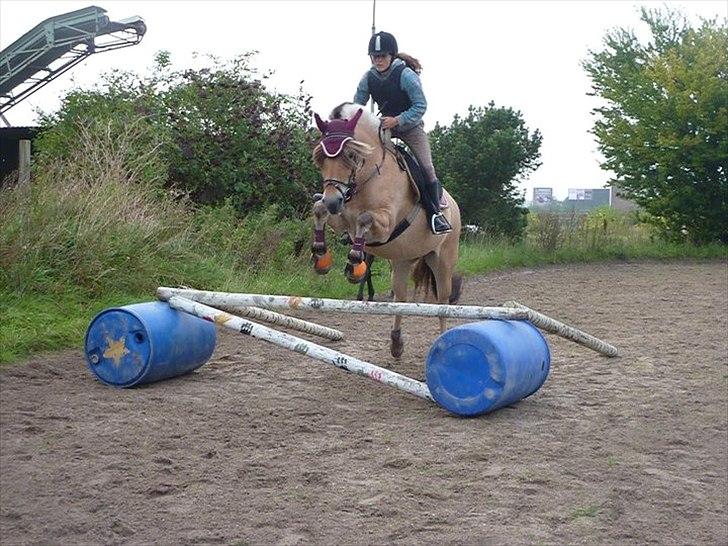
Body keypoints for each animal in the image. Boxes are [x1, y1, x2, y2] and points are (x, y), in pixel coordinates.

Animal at [312, 102, 460, 356]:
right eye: (321, 159)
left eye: (350, 156)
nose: (333, 201)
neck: (365, 178)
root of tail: (455, 206)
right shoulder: (341, 218)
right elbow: (318, 209)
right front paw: (321, 256)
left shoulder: (385, 225)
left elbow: (364, 219)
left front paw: (355, 263)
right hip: (402, 260)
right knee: (400, 298)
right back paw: (396, 342)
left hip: (442, 260)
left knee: (442, 303)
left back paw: (443, 342)